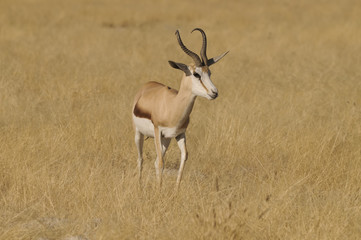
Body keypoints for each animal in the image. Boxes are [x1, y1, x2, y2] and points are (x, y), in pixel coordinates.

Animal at [132, 28, 228, 188]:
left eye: (209, 72)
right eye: (196, 74)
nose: (214, 93)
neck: (173, 106)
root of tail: (147, 85)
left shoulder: (179, 134)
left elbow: (184, 157)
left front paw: (175, 190)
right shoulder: (158, 131)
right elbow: (161, 162)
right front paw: (159, 190)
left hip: (167, 140)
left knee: (154, 161)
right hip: (139, 133)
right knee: (141, 159)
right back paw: (139, 186)